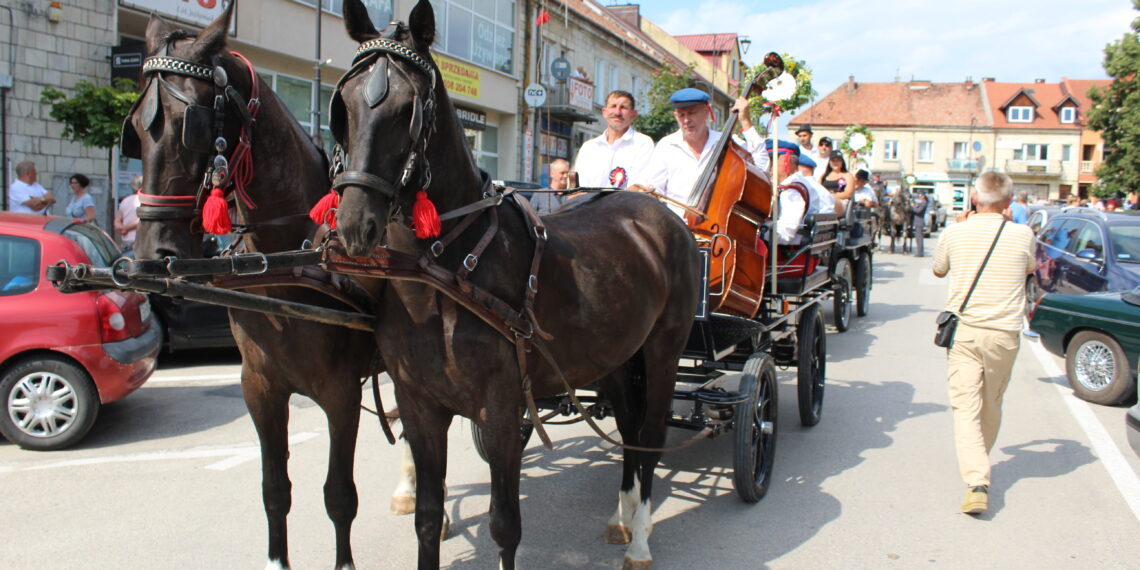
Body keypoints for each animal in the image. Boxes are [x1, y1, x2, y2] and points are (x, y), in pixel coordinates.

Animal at [330, 2, 697, 567]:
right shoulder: (419, 405)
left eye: (408, 109)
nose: (354, 225)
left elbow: (505, 526)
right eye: (344, 106)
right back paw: (622, 514)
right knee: (629, 424)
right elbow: (427, 517)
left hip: (664, 348)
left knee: (650, 432)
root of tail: (660, 214)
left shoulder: (501, 412)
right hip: (613, 356)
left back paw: (639, 536)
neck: (441, 274)